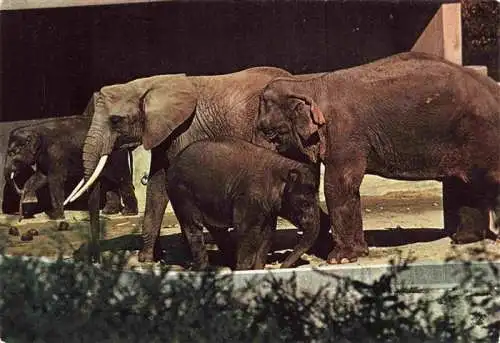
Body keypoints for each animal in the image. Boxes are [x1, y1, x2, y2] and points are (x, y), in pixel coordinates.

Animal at [3, 116, 139, 220]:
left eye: (12, 153)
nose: (20, 217)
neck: (35, 129)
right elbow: (41, 177)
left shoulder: (56, 154)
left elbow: (55, 180)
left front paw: (55, 216)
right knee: (110, 181)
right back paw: (109, 211)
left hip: (116, 156)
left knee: (122, 179)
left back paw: (129, 213)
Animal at [166, 138, 318, 272]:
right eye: (305, 203)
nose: (281, 267)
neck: (282, 166)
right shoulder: (249, 199)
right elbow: (246, 231)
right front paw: (243, 271)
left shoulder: (267, 207)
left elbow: (267, 234)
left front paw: (256, 270)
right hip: (181, 192)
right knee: (193, 226)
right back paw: (202, 269)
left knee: (217, 230)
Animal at [258, 52, 500, 264]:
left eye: (270, 133)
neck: (309, 84)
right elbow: (347, 188)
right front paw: (358, 253)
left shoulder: (345, 134)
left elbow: (339, 185)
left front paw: (339, 259)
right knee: (465, 184)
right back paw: (463, 240)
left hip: (484, 135)